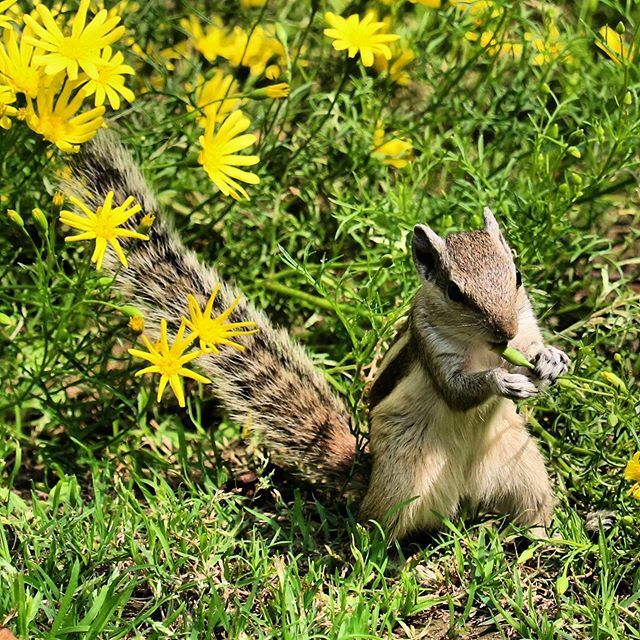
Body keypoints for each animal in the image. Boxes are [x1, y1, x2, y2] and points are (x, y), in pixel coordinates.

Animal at [61, 134, 569, 540]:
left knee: (532, 511)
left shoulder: (524, 325)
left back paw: (546, 539)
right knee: (375, 527)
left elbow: (530, 347)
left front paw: (552, 360)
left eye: (517, 275)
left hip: (522, 467)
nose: (503, 332)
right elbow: (457, 391)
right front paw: (500, 382)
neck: (485, 349)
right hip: (407, 479)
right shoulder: (431, 345)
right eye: (454, 292)